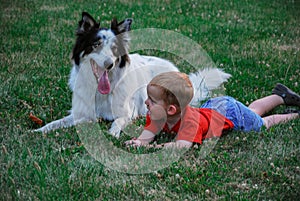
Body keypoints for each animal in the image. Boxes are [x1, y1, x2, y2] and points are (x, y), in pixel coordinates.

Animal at [35, 11, 232, 137]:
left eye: (114, 48)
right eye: (96, 44)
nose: (109, 64)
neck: (101, 92)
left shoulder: (126, 113)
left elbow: (117, 122)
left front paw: (113, 132)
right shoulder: (81, 114)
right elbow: (56, 122)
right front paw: (39, 130)